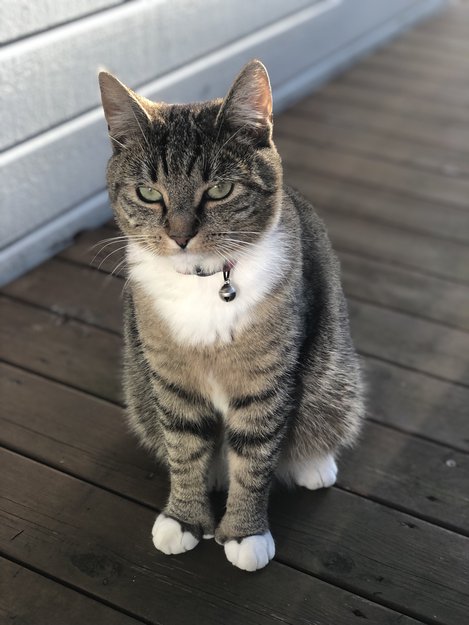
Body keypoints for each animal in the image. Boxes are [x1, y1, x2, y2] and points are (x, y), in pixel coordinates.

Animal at [98, 60, 364, 572]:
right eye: (148, 193)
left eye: (219, 189)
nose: (180, 236)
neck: (204, 280)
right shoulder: (170, 378)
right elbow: (183, 448)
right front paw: (184, 518)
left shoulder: (265, 381)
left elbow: (255, 458)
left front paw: (245, 533)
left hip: (332, 377)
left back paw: (313, 463)